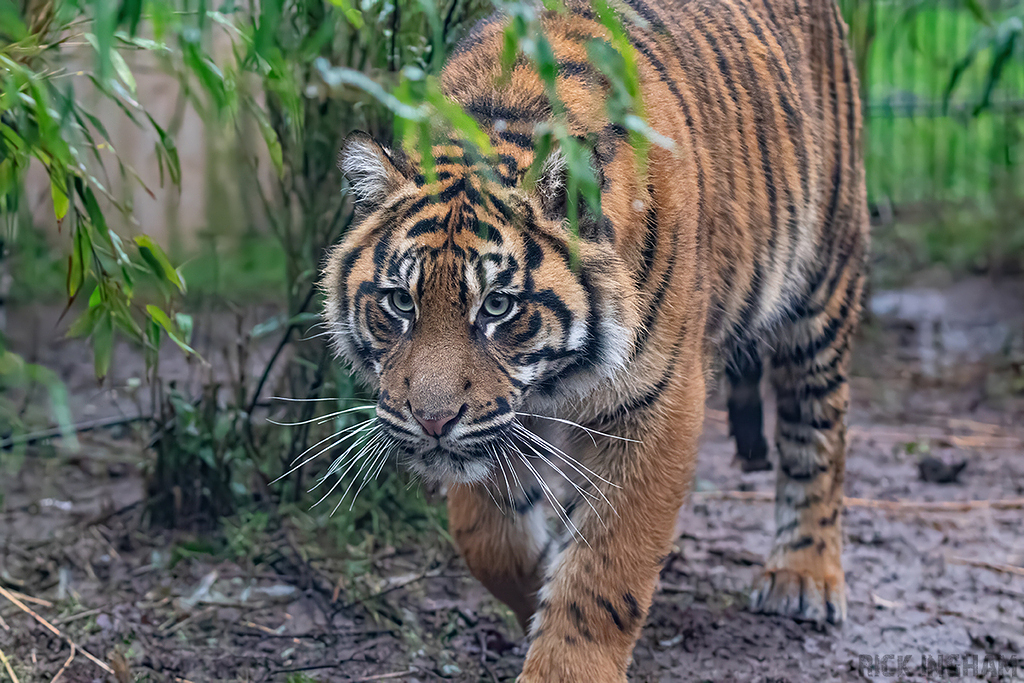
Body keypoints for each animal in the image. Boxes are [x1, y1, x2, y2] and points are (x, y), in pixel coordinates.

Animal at [321, 0, 868, 679]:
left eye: (498, 306)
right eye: (401, 302)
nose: (432, 421)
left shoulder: (659, 405)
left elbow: (606, 570)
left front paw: (565, 658)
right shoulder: (500, 425)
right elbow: (488, 538)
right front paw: (535, 586)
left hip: (823, 282)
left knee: (818, 430)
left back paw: (804, 576)